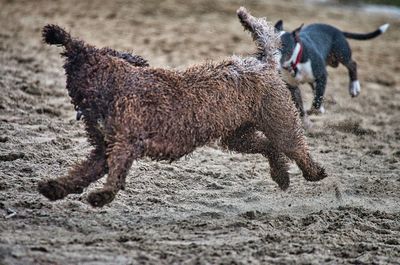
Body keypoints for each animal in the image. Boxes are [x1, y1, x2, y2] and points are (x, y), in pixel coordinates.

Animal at [37, 7, 326, 206]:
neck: (112, 83)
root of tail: (262, 64)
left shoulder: (125, 142)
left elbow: (116, 171)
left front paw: (103, 195)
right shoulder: (103, 149)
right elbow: (83, 172)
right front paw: (57, 187)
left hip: (279, 121)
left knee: (294, 147)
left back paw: (314, 172)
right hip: (237, 136)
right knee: (268, 147)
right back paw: (281, 176)